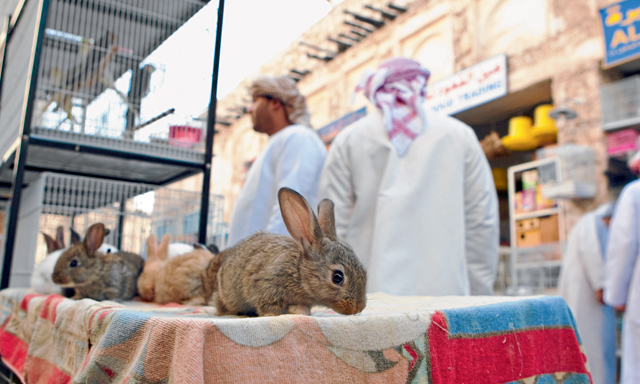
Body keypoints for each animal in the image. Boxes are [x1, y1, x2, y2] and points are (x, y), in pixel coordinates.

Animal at [205, 188, 364, 316]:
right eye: (337, 277)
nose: (358, 308)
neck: (299, 272)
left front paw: (300, 311)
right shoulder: (267, 287)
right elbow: (268, 306)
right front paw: (274, 314)